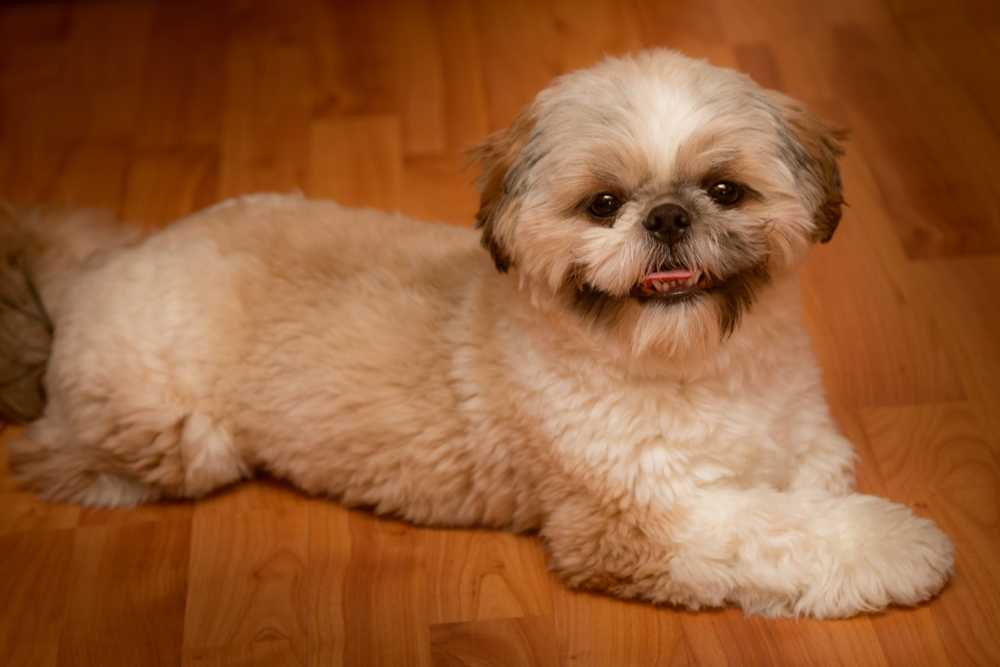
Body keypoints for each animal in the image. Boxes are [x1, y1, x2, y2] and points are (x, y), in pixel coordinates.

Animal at [0, 49, 952, 620]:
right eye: (604, 204)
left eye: (725, 190)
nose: (669, 216)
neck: (696, 366)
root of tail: (100, 269)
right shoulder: (643, 519)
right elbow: (783, 527)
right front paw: (902, 546)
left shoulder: (801, 433)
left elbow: (813, 485)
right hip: (180, 439)